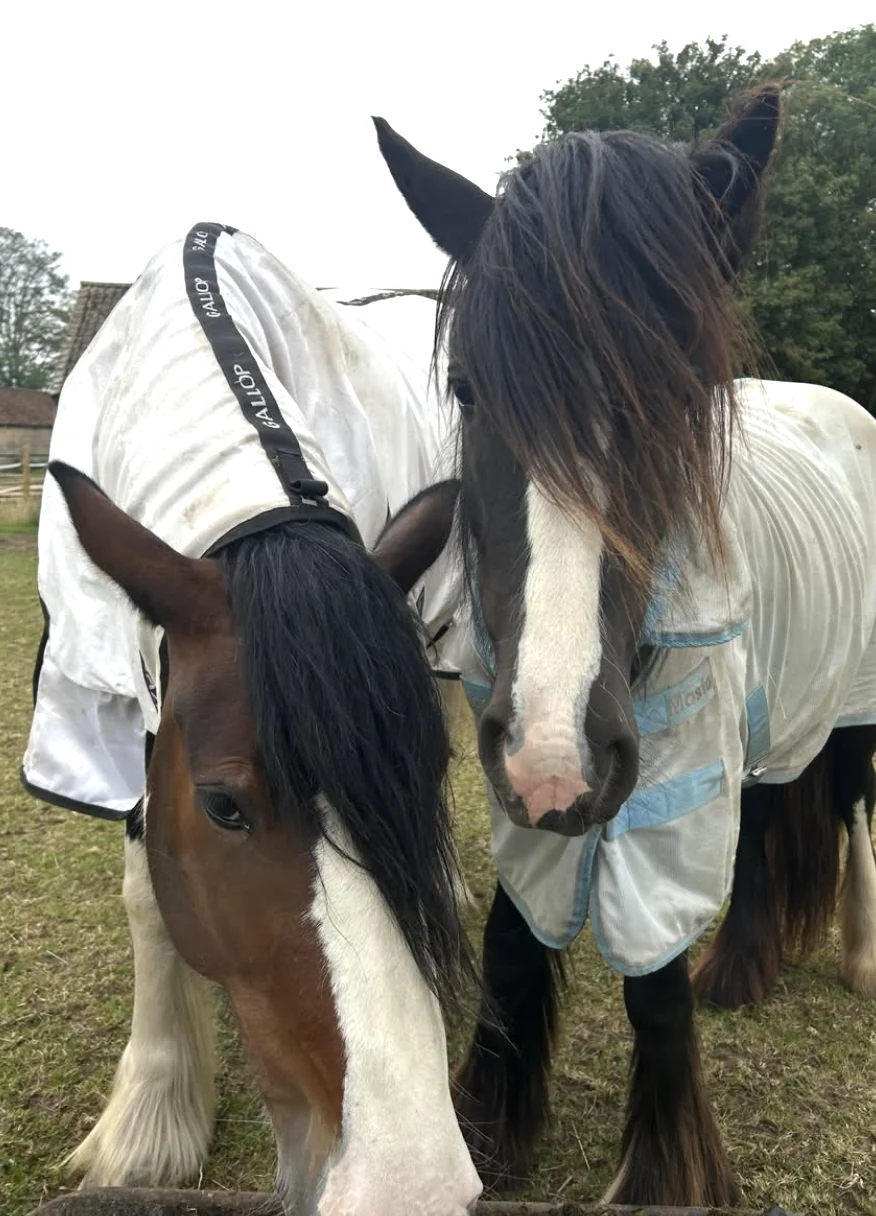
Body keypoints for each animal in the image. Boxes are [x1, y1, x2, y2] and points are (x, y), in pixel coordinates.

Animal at [372, 86, 876, 1205]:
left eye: (682, 397)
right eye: (468, 389)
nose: (559, 751)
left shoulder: (669, 783)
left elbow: (652, 980)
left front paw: (663, 1174)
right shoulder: (528, 776)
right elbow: (514, 938)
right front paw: (491, 1128)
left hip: (856, 694)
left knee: (852, 804)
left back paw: (858, 951)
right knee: (772, 815)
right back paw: (742, 964)